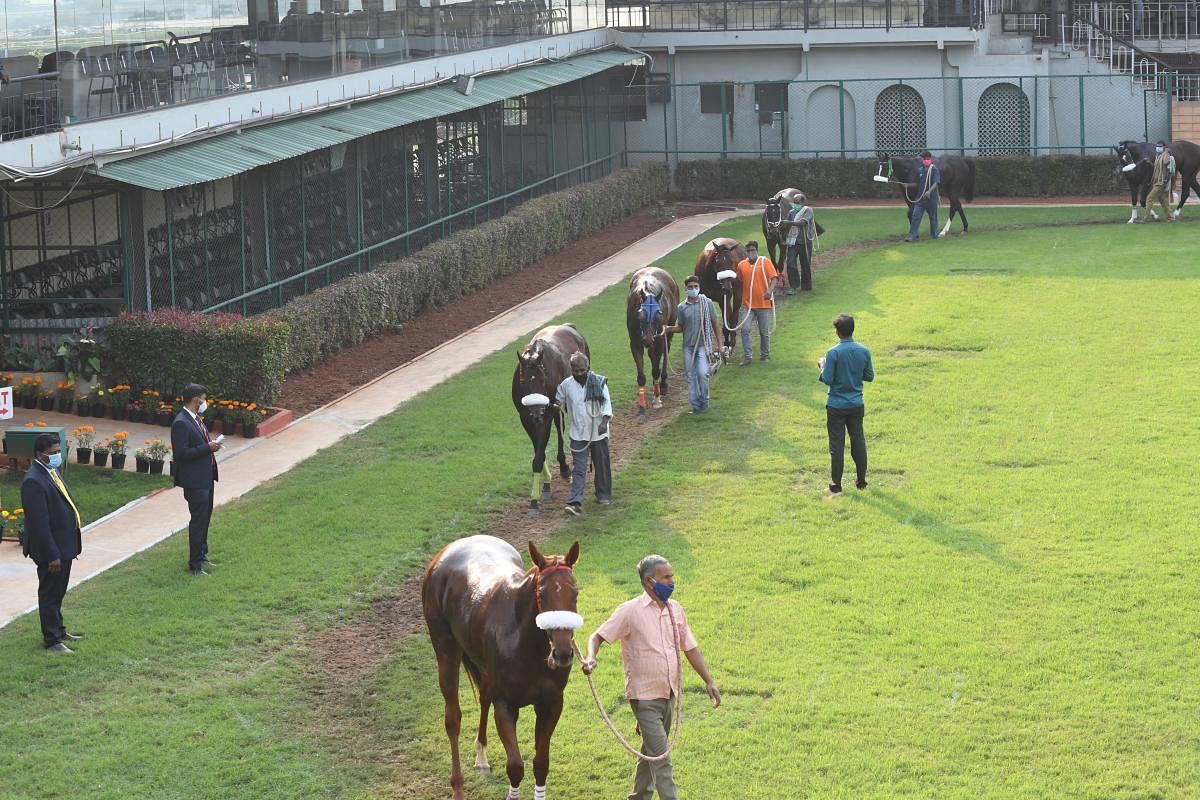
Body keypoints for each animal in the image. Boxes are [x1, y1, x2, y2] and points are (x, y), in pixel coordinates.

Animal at [424, 534, 583, 800]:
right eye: (542, 593)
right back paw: (458, 786)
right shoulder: (506, 705)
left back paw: (481, 755)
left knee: (484, 695)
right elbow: (516, 766)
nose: (562, 652)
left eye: (575, 592)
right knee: (453, 719)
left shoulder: (551, 703)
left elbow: (541, 764)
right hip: (446, 650)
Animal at [513, 326, 588, 520]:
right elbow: (538, 450)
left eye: (542, 380)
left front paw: (534, 502)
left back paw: (564, 466)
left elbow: (539, 456)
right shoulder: (525, 418)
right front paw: (545, 485)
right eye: (523, 381)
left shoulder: (546, 412)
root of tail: (570, 326)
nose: (537, 412)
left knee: (560, 427)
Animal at [628, 267, 676, 422]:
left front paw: (656, 399)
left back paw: (663, 384)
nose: (648, 340)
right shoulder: (635, 342)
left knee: (666, 350)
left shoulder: (659, 339)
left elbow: (656, 369)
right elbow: (641, 376)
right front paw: (641, 410)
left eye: (658, 314)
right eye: (641, 315)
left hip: (670, 326)